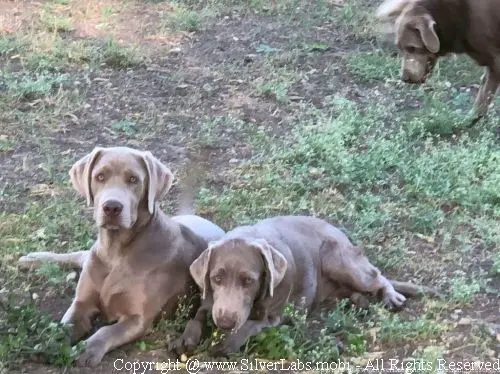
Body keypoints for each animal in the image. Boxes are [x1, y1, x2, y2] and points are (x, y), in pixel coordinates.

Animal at [17, 146, 225, 366]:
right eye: (100, 176)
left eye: (133, 179)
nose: (112, 207)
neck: (115, 251)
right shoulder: (82, 303)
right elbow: (65, 325)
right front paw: (50, 343)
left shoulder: (138, 319)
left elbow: (106, 331)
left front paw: (87, 349)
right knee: (81, 255)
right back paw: (32, 259)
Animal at [174, 215, 440, 356]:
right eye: (216, 278)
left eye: (248, 280)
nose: (225, 322)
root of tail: (342, 235)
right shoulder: (210, 299)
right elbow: (198, 314)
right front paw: (187, 337)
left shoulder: (274, 315)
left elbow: (250, 325)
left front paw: (226, 343)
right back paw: (360, 300)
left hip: (338, 259)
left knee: (377, 276)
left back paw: (390, 296)